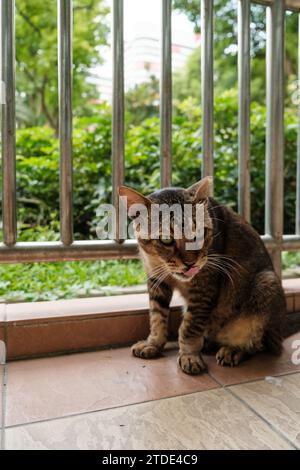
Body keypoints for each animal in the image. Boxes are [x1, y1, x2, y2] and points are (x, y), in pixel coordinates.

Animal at [118, 176, 296, 374]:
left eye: (199, 233)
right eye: (166, 239)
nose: (190, 263)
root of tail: (281, 327)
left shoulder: (204, 288)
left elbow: (189, 326)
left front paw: (189, 355)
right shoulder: (156, 279)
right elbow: (157, 316)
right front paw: (154, 343)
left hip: (266, 283)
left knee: (259, 344)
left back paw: (233, 350)